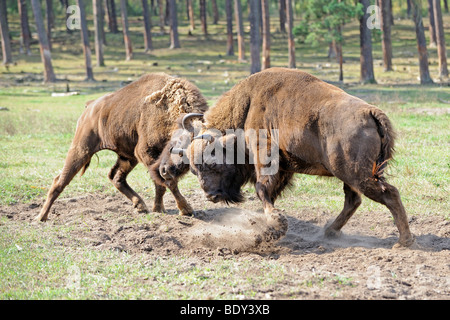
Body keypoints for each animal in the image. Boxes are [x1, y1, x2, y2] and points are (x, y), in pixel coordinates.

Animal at [36, 73, 208, 221]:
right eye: (178, 142)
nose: (165, 170)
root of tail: (90, 106)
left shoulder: (148, 159)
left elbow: (160, 184)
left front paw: (159, 209)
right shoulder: (145, 153)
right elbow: (166, 183)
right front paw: (186, 209)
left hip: (127, 157)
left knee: (116, 177)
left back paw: (140, 205)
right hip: (82, 149)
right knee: (60, 180)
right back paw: (41, 217)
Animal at [165, 67, 414, 248]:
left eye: (212, 162)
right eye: (194, 169)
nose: (211, 195)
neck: (248, 106)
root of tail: (370, 112)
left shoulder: (266, 159)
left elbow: (261, 189)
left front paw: (276, 222)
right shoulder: (284, 169)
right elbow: (268, 193)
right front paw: (269, 223)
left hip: (357, 175)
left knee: (388, 194)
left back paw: (403, 242)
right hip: (351, 175)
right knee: (354, 200)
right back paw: (329, 232)